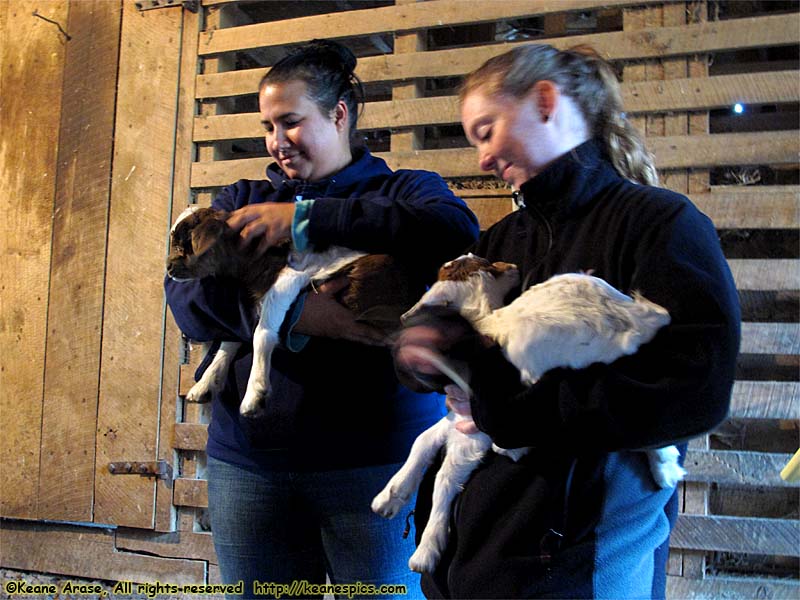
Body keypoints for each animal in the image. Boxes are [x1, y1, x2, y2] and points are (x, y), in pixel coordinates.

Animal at [166, 206, 422, 418]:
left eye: (183, 245)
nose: (168, 267)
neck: (250, 258)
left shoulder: (289, 279)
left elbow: (262, 332)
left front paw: (254, 395)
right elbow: (231, 338)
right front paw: (205, 384)